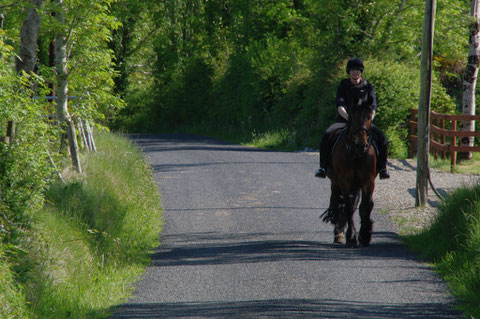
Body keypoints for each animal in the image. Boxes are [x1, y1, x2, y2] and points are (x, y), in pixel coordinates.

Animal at [320, 97, 376, 248]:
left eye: (369, 117)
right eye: (352, 117)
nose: (362, 145)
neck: (356, 154)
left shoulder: (368, 181)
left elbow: (366, 206)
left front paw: (365, 235)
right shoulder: (345, 181)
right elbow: (349, 207)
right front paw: (351, 237)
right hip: (336, 182)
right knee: (338, 203)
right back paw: (339, 233)